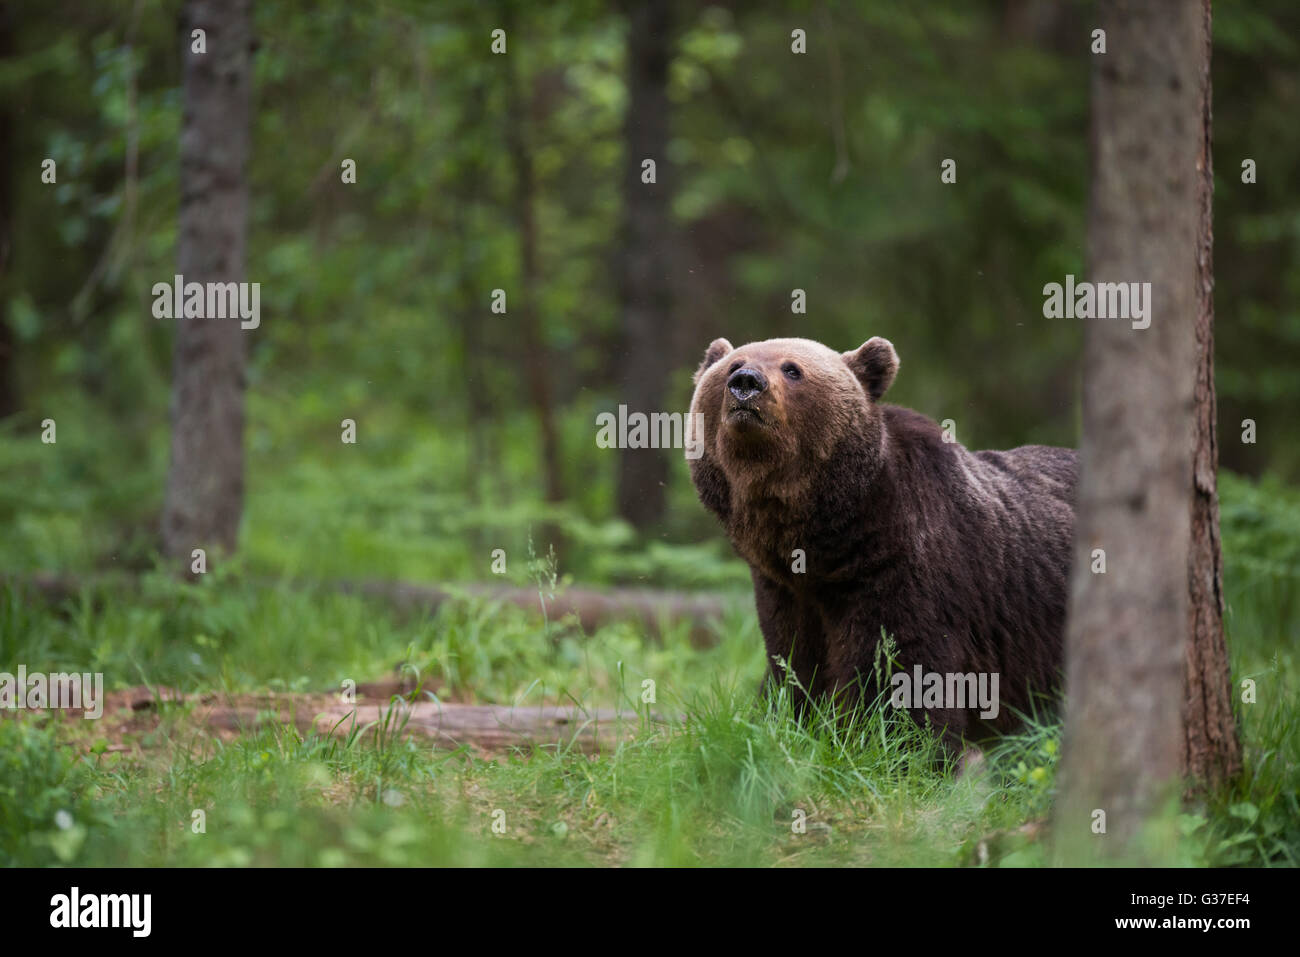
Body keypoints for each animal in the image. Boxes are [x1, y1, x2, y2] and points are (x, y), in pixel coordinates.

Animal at [686, 336, 1077, 748]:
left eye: (792, 368)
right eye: (733, 365)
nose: (746, 382)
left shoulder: (904, 566)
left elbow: (902, 669)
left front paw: (898, 742)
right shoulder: (784, 589)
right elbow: (792, 660)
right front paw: (789, 719)